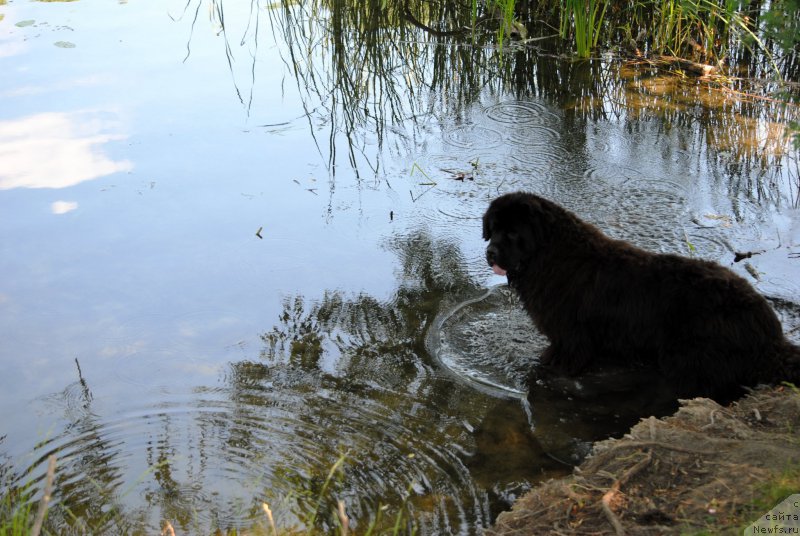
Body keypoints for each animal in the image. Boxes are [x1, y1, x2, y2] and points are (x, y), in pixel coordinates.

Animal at [482, 192, 800, 402]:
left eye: (513, 233)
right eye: (493, 229)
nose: (491, 253)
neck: (548, 256)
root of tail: (769, 331)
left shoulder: (571, 341)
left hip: (692, 360)